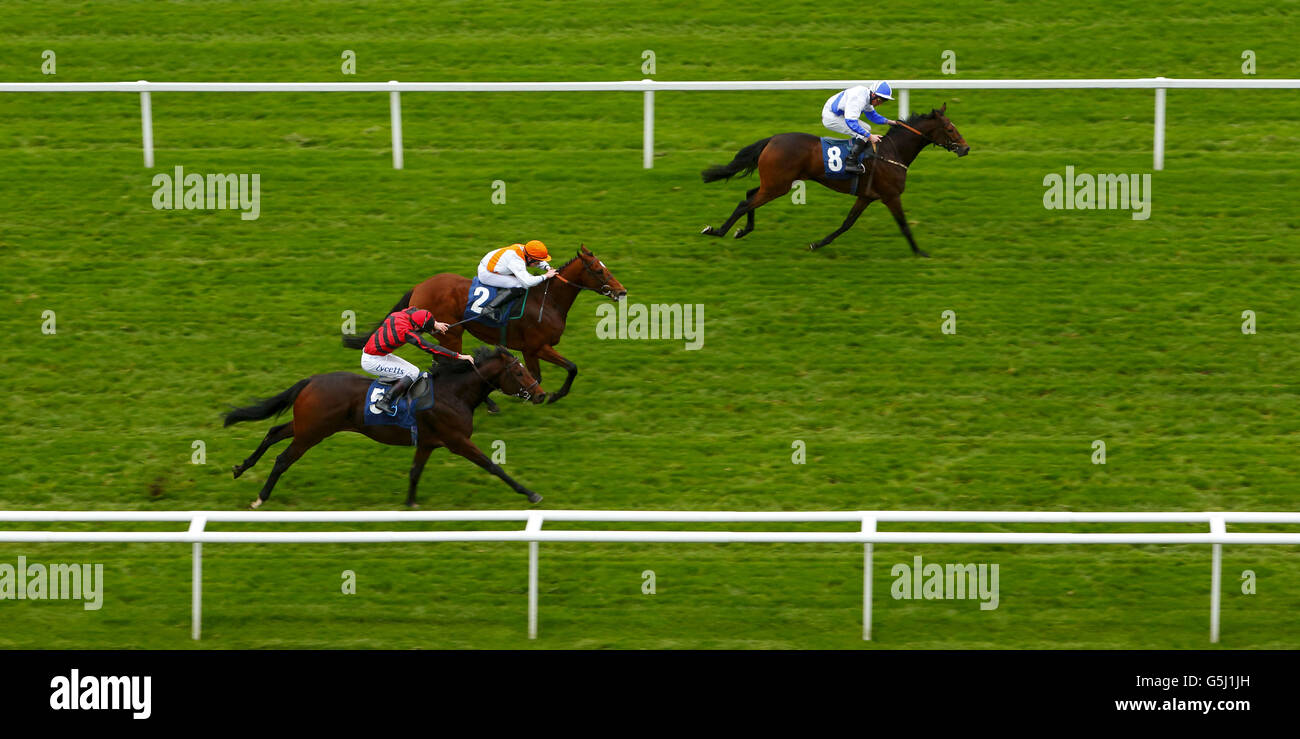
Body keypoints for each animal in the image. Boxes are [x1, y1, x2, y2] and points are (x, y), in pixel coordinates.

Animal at [223, 346, 543, 507]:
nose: (540, 394)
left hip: (306, 425)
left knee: (272, 433)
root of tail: (311, 380)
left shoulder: (428, 442)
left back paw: (241, 467)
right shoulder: (457, 440)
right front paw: (530, 493)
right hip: (312, 432)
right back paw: (261, 497)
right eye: (518, 372)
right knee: (282, 459)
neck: (453, 393)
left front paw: (411, 503)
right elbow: (492, 465)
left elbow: (415, 472)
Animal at [343, 245, 626, 405]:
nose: (621, 291)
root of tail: (420, 287)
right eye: (599, 271)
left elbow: (544, 373)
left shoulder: (530, 350)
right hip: (451, 334)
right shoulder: (536, 347)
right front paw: (551, 395)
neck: (548, 301)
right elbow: (569, 368)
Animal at [702, 104, 967, 253]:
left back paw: (742, 230)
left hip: (775, 182)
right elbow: (903, 225)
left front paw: (817, 244)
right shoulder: (891, 195)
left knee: (749, 196)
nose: (966, 148)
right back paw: (717, 231)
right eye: (950, 129)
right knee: (745, 203)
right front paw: (920, 252)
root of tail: (772, 139)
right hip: (777, 185)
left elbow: (847, 223)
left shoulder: (866, 196)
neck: (893, 153)